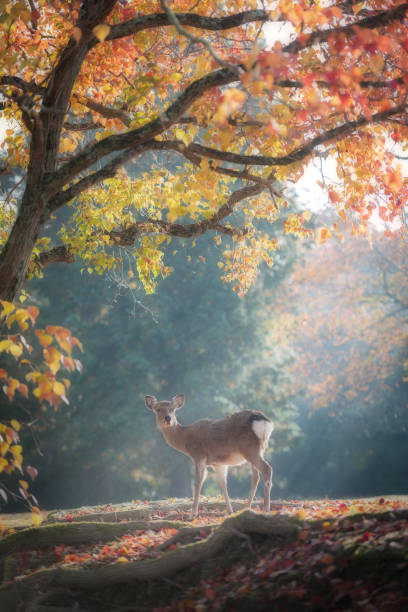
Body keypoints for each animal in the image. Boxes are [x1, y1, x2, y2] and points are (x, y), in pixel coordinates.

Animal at [144, 394, 274, 520]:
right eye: (158, 409)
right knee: (256, 476)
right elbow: (223, 483)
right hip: (259, 449)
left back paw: (265, 509)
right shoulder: (218, 463)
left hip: (249, 448)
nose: (168, 418)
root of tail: (265, 422)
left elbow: (198, 482)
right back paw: (247, 508)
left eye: (172, 409)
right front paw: (230, 511)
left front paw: (192, 514)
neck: (185, 440)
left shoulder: (199, 455)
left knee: (267, 468)